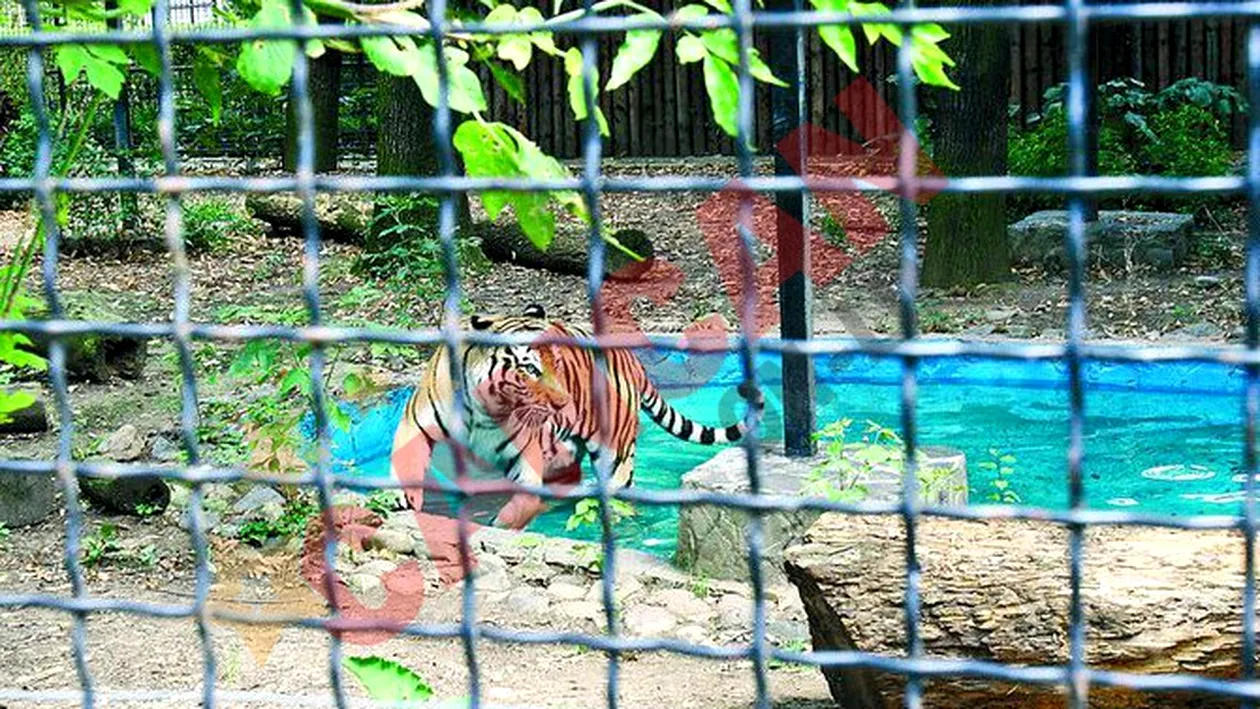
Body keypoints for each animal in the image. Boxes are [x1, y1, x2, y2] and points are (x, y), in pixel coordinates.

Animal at [388, 302, 761, 528]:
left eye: (558, 363)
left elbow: (522, 500)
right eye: (530, 369)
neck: (484, 407)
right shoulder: (415, 425)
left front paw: (503, 524)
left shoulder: (525, 455)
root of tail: (631, 358)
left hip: (615, 455)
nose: (562, 402)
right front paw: (403, 499)